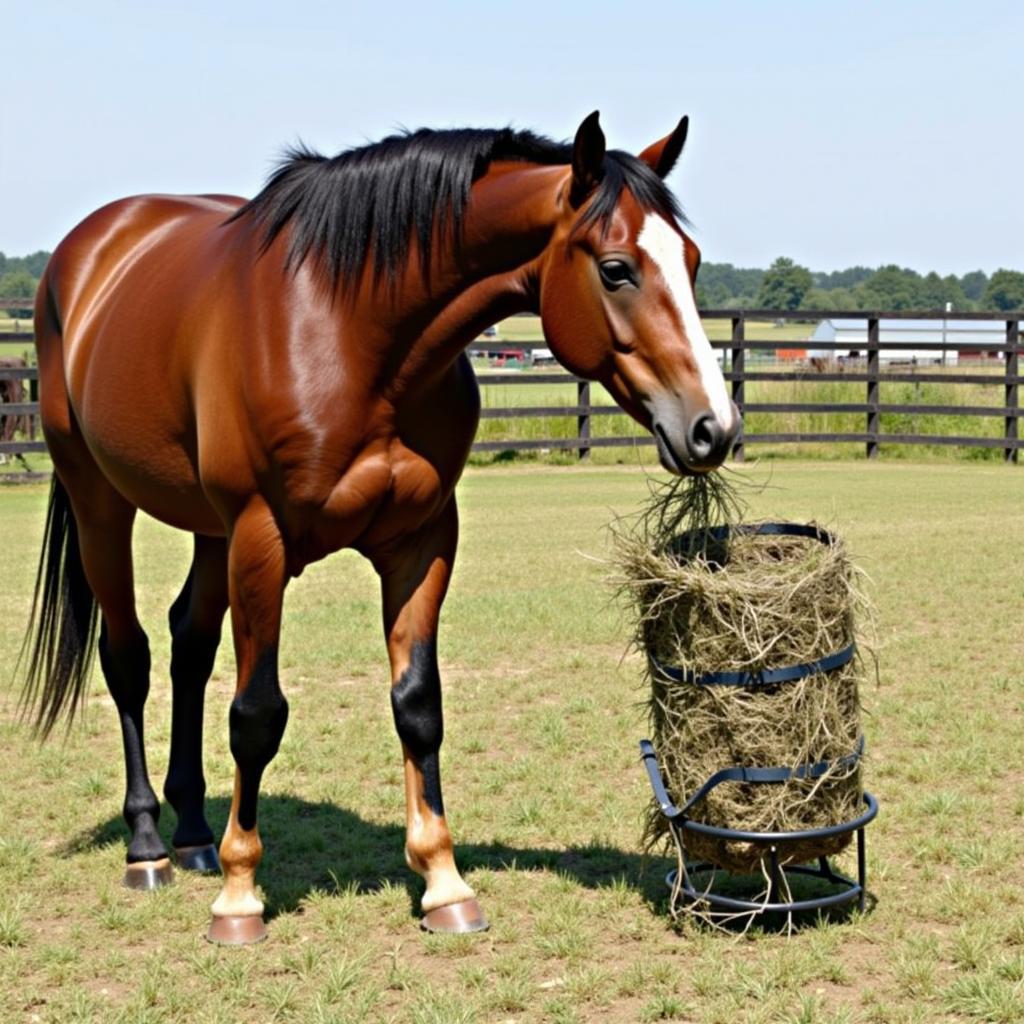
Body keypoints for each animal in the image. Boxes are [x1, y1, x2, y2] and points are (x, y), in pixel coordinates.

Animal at [19, 112, 741, 942]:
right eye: (618, 269)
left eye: (691, 261)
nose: (713, 428)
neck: (351, 335)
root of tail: (90, 250)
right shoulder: (262, 538)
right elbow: (257, 713)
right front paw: (240, 894)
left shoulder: (420, 540)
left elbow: (417, 705)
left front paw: (443, 881)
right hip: (100, 499)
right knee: (129, 658)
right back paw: (148, 845)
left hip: (209, 532)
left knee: (187, 648)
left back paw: (195, 833)